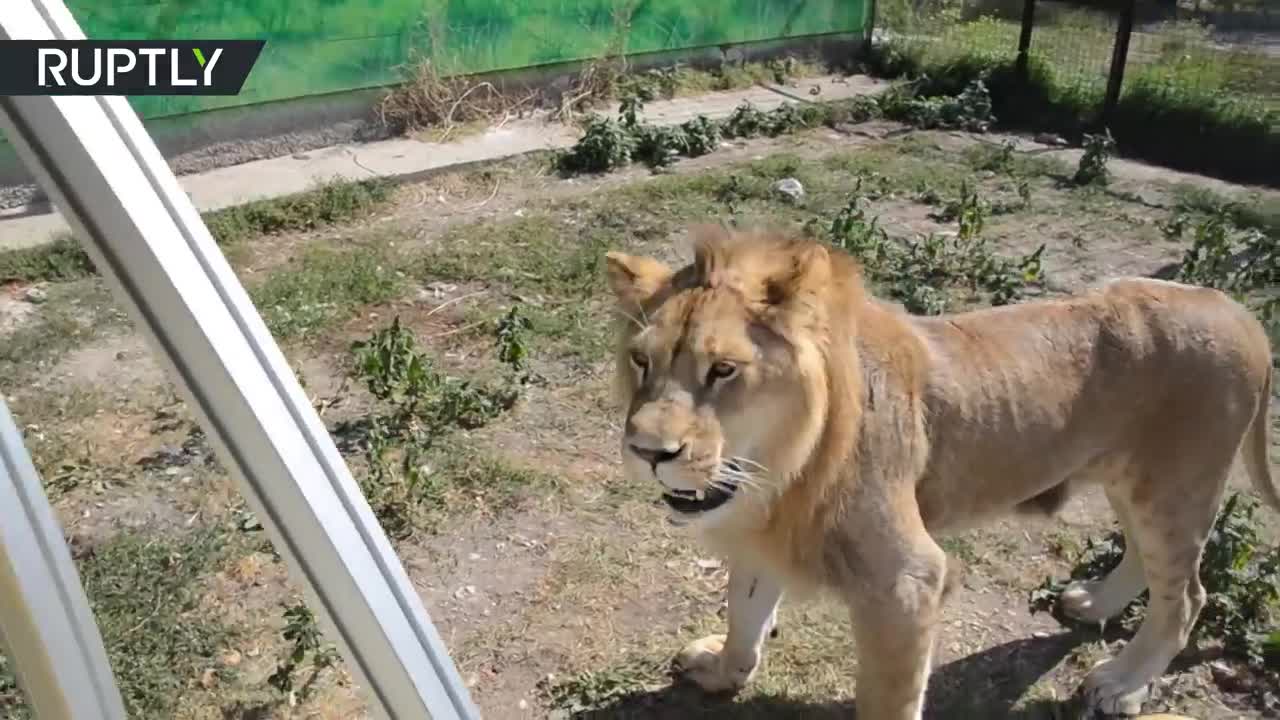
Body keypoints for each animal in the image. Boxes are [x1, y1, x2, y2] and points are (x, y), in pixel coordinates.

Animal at [601, 224, 1280, 717]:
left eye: (723, 370)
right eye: (641, 362)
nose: (647, 450)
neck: (777, 474)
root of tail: (1234, 306)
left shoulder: (908, 580)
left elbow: (888, 698)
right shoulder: (763, 537)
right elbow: (744, 611)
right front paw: (723, 671)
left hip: (1178, 487)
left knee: (1186, 595)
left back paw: (1121, 684)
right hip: (1134, 483)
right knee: (1144, 558)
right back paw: (1093, 603)